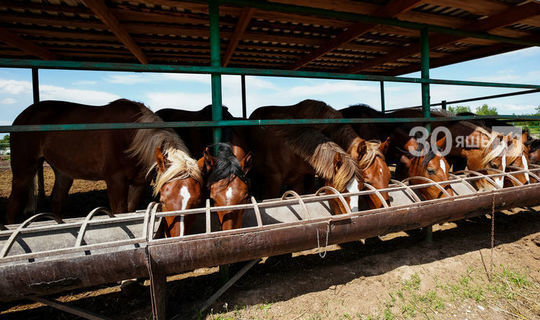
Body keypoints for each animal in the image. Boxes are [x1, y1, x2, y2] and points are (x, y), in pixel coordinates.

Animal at [6, 99, 202, 234]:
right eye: (163, 201)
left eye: (197, 201)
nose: (179, 236)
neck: (131, 138)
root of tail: (23, 115)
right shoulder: (116, 182)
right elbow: (121, 213)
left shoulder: (138, 183)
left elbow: (131, 211)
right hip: (24, 170)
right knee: (14, 203)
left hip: (63, 173)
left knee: (57, 201)